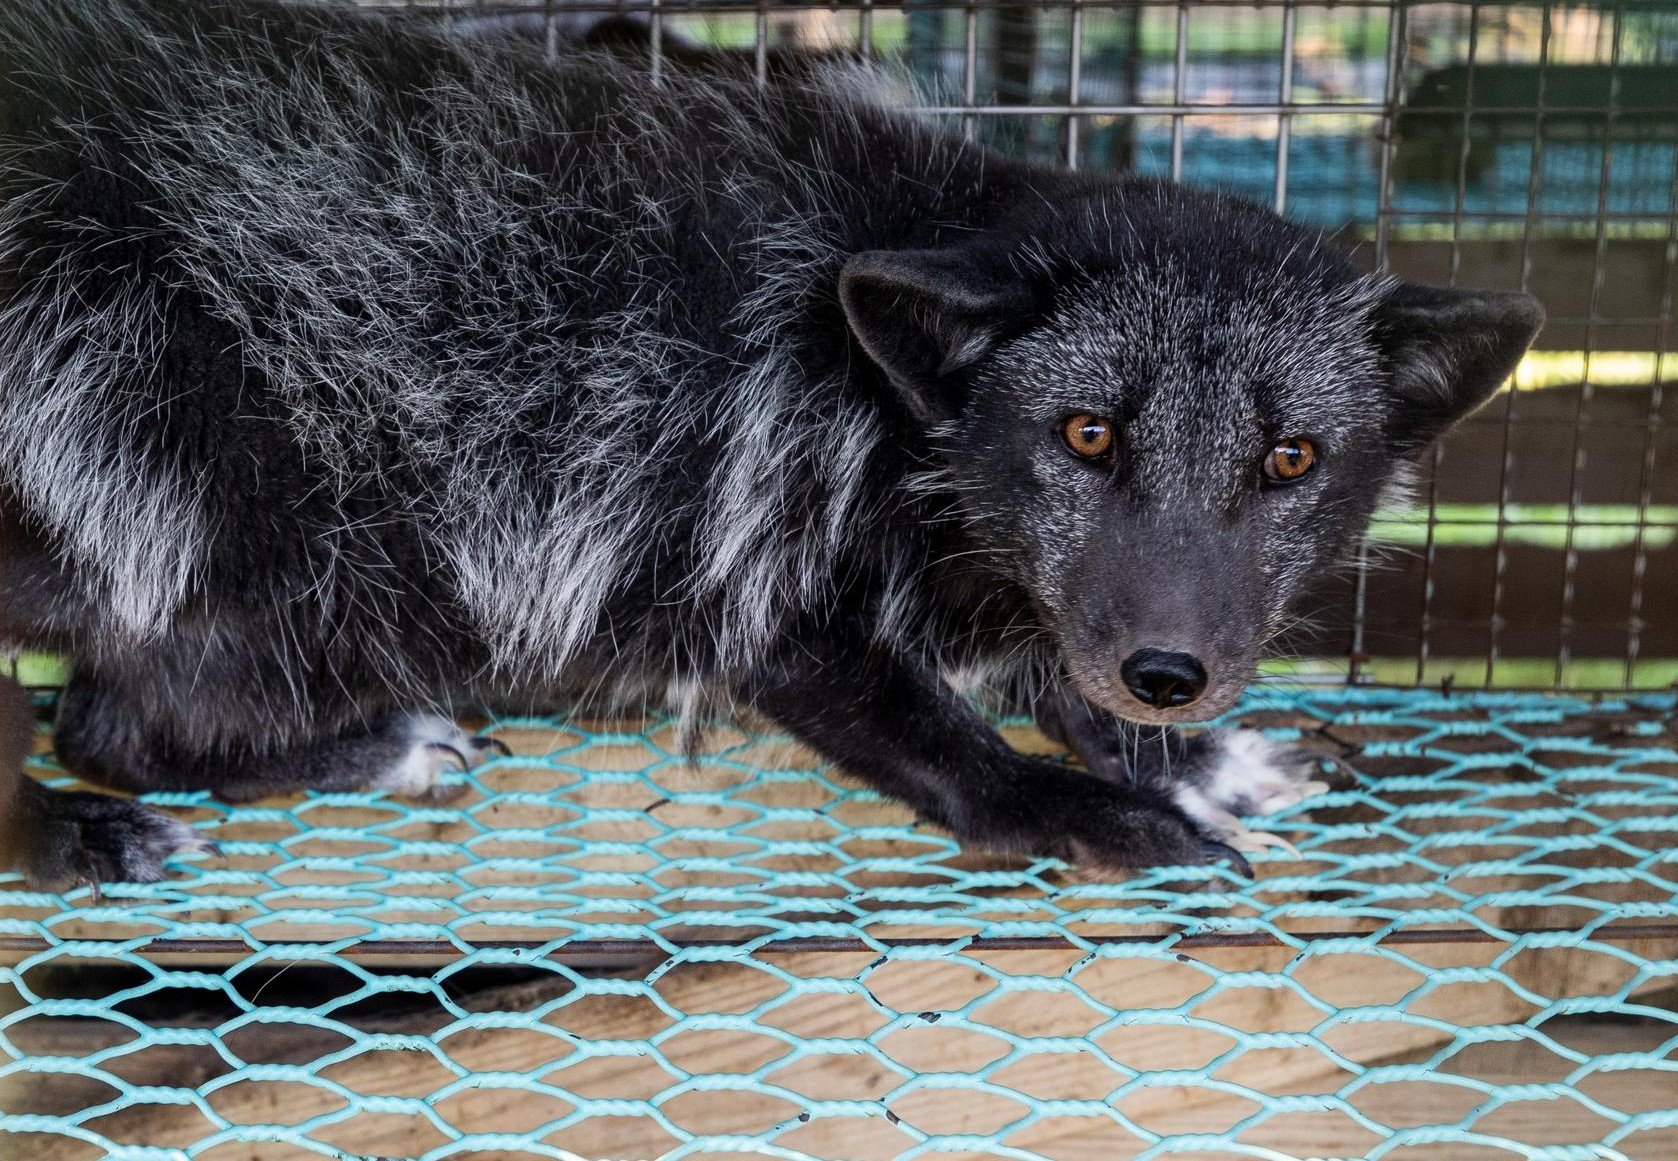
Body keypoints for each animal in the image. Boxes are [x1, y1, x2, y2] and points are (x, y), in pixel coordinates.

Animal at [0, 0, 1541, 890]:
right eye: (1086, 432)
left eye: (1290, 461)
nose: (1173, 671)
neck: (886, 415)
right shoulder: (752, 590)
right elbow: (953, 750)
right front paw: (1090, 807)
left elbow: (1059, 665)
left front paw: (1186, 754)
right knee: (86, 729)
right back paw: (77, 835)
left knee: (109, 724)